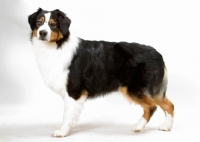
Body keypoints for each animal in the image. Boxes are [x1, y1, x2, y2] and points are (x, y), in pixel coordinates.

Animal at [27, 8, 173, 137]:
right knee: (169, 104)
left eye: (53, 24)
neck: (56, 46)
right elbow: (70, 114)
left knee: (152, 106)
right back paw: (166, 127)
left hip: (133, 88)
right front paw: (64, 127)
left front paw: (62, 131)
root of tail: (159, 55)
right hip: (152, 90)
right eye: (39, 22)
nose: (42, 33)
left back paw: (138, 126)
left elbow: (67, 114)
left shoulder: (74, 90)